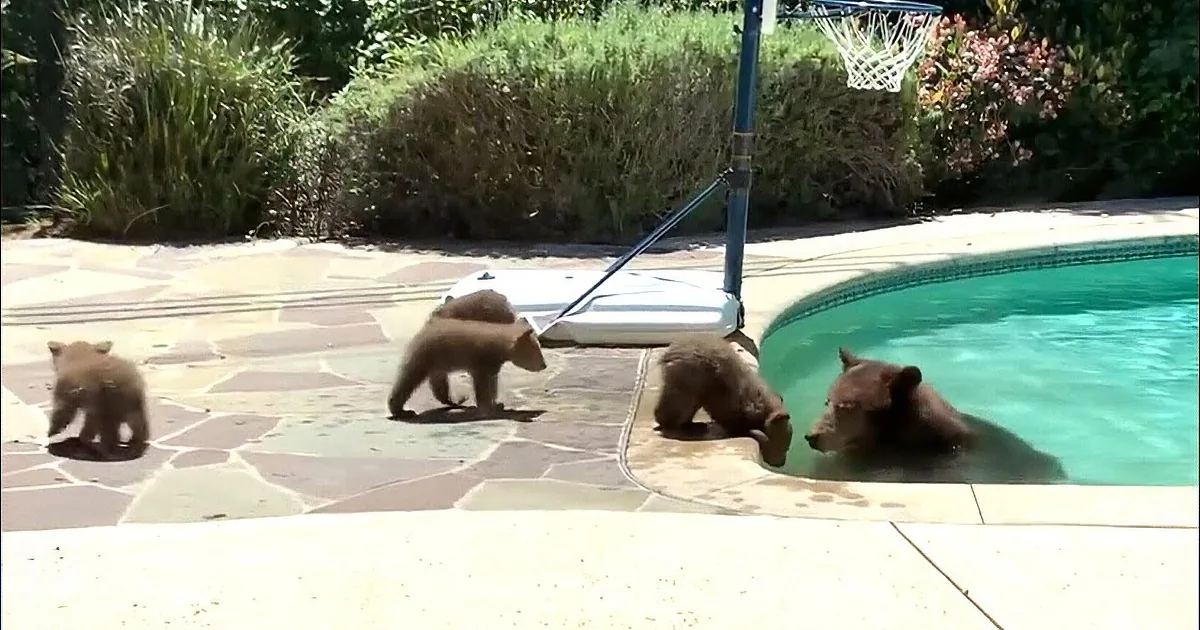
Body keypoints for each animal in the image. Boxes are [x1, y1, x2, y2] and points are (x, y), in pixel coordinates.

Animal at [387, 317, 547, 419]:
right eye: (536, 351)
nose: (544, 365)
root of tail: (422, 330)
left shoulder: (492, 365)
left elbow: (492, 384)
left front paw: (496, 404)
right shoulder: (481, 361)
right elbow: (482, 387)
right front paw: (488, 408)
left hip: (437, 364)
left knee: (439, 386)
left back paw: (455, 401)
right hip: (424, 355)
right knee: (408, 379)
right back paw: (401, 410)